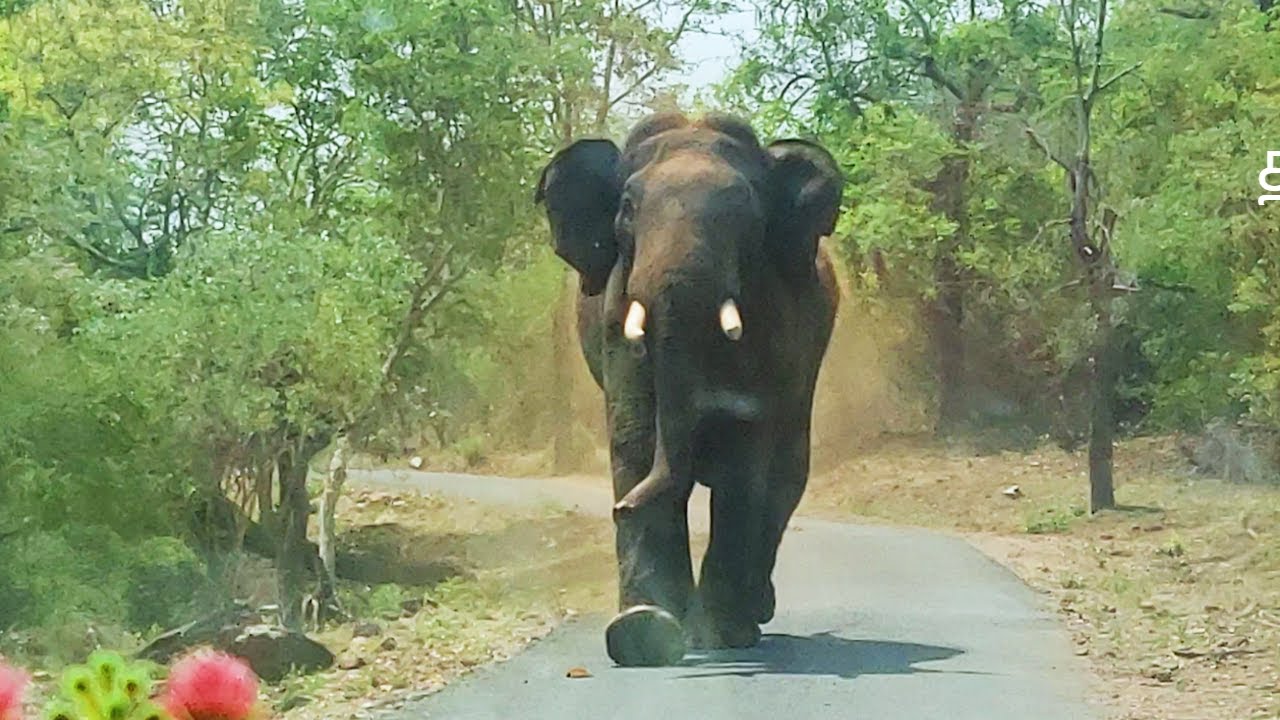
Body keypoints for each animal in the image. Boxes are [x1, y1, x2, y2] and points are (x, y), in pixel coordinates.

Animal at [534, 112, 844, 667]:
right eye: (628, 208)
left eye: (746, 214)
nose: (621, 508)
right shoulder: (617, 309)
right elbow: (634, 435)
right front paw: (642, 631)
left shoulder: (771, 307)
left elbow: (745, 447)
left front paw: (720, 636)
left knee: (785, 476)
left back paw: (752, 615)